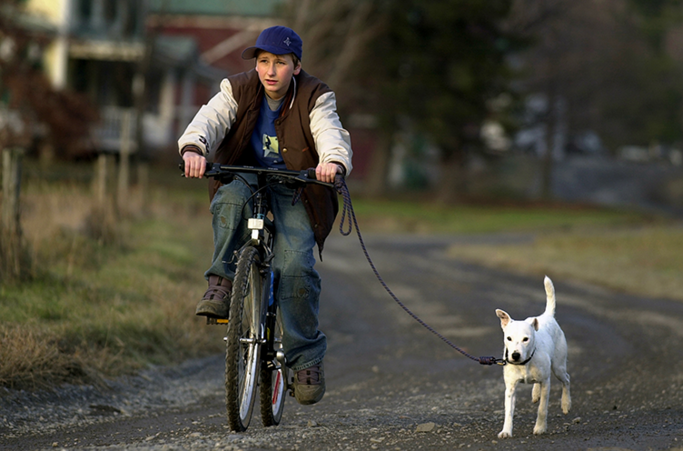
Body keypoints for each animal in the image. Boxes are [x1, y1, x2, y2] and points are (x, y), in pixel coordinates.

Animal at [496, 278, 572, 440]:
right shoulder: (510, 387)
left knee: (566, 379)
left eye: (526, 339)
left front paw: (540, 428)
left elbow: (542, 408)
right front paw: (506, 431)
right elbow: (508, 411)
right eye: (508, 338)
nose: (515, 355)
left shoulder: (546, 383)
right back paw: (535, 393)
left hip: (558, 367)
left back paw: (565, 404)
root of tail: (547, 316)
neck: (524, 363)